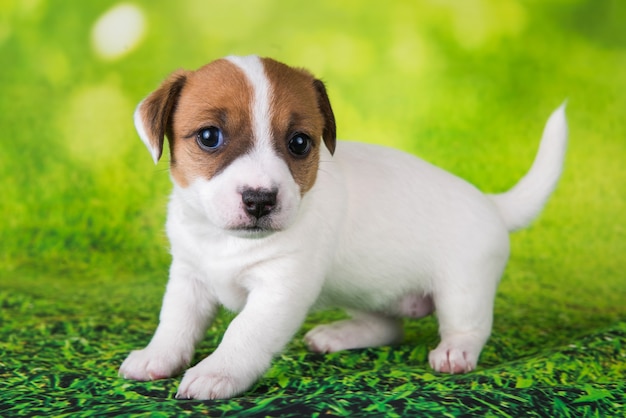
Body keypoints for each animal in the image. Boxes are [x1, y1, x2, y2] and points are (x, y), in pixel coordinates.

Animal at [119, 54, 568, 398]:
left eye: (299, 142)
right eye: (210, 136)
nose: (260, 199)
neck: (228, 241)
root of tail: (492, 203)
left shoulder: (280, 289)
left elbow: (243, 331)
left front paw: (217, 371)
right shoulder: (189, 278)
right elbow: (175, 322)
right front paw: (157, 356)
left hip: (463, 286)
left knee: (468, 325)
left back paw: (455, 352)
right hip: (365, 290)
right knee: (388, 327)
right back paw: (337, 336)